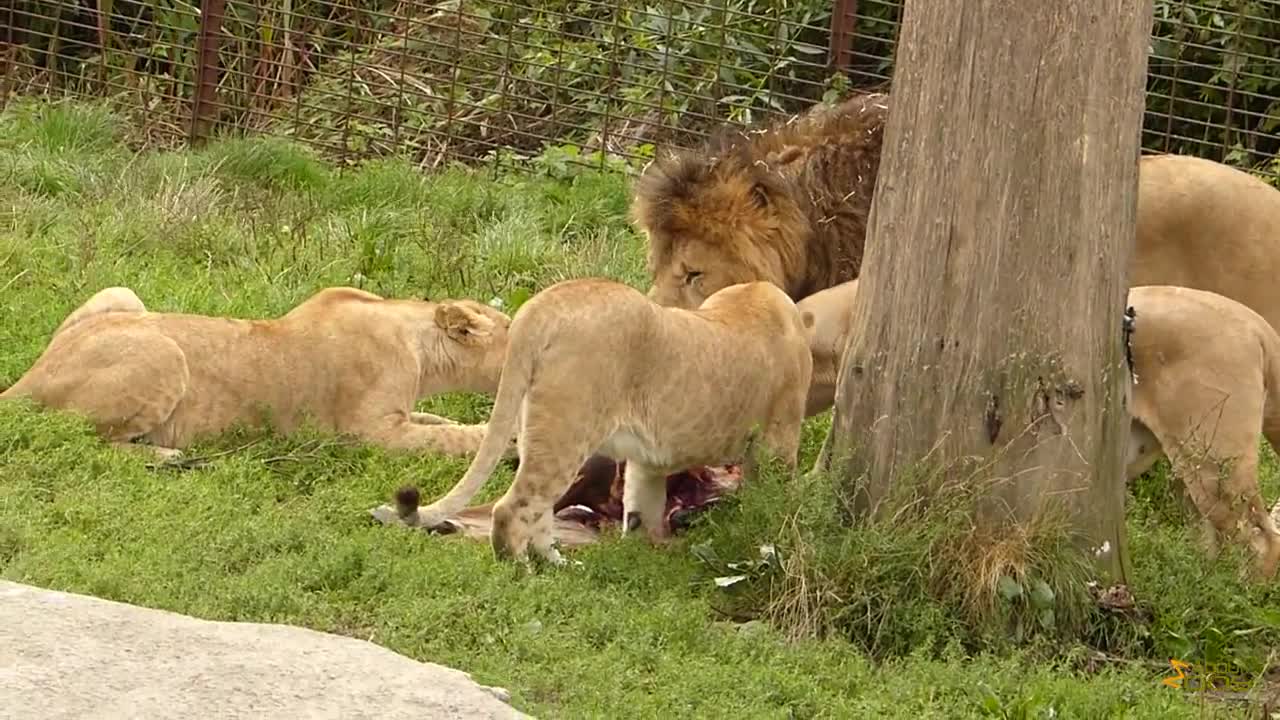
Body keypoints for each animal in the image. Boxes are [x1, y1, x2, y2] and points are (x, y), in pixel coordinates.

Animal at [1, 283, 509, 456]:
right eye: (513, 328)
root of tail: (26, 379)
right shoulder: (369, 433)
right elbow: (450, 438)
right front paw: (507, 443)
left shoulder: (399, 416)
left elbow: (441, 422)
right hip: (166, 354)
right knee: (88, 442)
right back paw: (169, 456)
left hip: (120, 294)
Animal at [399, 278, 814, 563]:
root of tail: (541, 307)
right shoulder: (779, 440)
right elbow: (777, 498)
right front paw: (777, 533)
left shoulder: (648, 462)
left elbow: (642, 505)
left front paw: (644, 550)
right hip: (567, 431)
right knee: (513, 508)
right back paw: (521, 569)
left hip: (537, 429)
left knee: (540, 510)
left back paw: (557, 564)